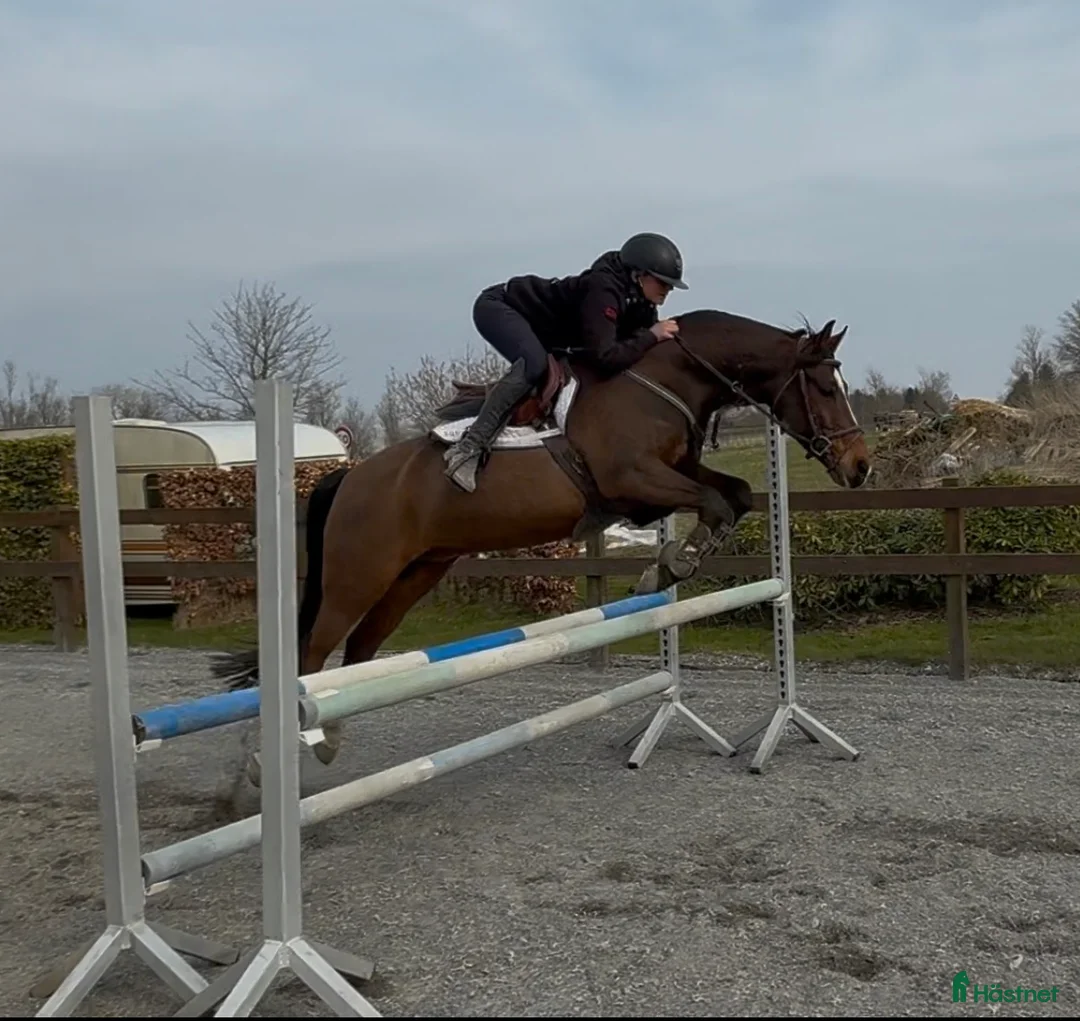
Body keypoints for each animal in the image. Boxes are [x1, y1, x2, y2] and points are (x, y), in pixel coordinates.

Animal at [212, 308, 872, 770]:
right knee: (311, 654)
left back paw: (330, 739)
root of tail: (348, 476)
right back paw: (279, 753)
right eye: (824, 388)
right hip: (358, 575)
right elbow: (713, 501)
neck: (663, 378)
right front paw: (671, 565)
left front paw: (670, 565)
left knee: (358, 652)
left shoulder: (667, 479)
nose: (860, 467)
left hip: (414, 574)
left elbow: (734, 494)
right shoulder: (633, 481)